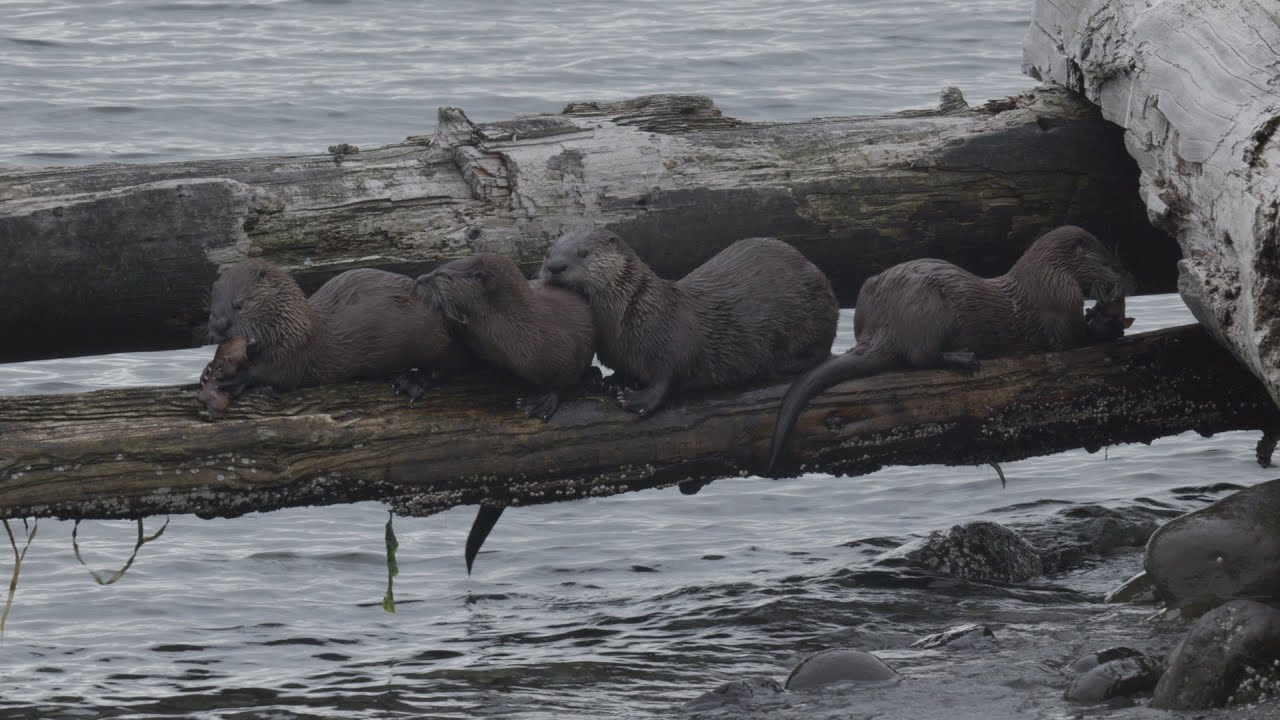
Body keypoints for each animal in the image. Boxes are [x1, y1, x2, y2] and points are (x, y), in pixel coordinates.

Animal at [203, 260, 464, 405]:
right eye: (213, 305)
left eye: (239, 304)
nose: (220, 326)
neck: (290, 326)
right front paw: (207, 370)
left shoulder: (296, 351)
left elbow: (276, 375)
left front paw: (237, 377)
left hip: (436, 341)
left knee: (448, 367)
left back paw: (413, 381)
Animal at [540, 229, 839, 417]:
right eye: (547, 252)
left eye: (583, 252)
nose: (555, 266)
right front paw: (615, 381)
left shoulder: (671, 338)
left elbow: (669, 375)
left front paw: (637, 400)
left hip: (817, 315)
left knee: (820, 350)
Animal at [768, 225, 1136, 471]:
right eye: (1109, 264)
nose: (1126, 274)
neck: (1048, 277)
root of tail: (884, 324)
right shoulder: (1060, 309)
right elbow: (1076, 338)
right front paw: (1107, 323)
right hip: (930, 309)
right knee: (919, 357)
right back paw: (963, 358)